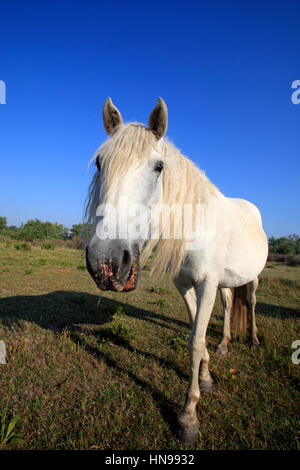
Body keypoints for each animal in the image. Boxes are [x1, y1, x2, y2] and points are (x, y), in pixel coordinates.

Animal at [85, 96, 268, 444]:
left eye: (159, 167)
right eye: (100, 163)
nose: (106, 262)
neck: (195, 225)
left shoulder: (206, 283)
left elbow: (195, 340)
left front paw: (188, 417)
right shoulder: (185, 285)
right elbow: (197, 334)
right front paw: (207, 376)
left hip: (252, 277)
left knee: (249, 304)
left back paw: (252, 341)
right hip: (226, 282)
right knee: (228, 306)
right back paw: (225, 345)